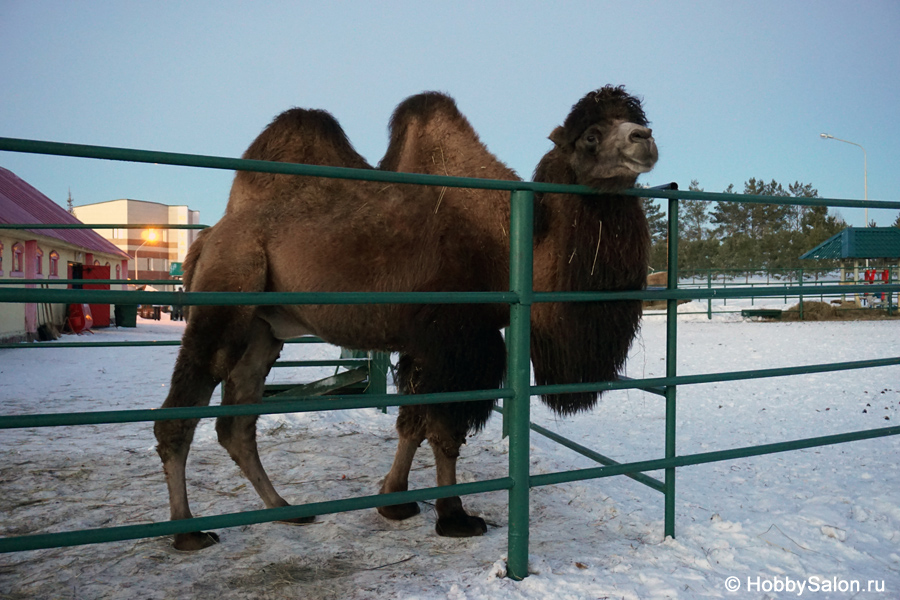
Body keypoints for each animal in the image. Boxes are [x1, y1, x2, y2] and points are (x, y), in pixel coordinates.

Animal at [158, 84, 656, 548]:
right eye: (590, 135)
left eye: (636, 119)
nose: (644, 139)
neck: (514, 240)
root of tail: (208, 238)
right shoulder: (460, 340)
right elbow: (444, 432)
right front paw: (454, 517)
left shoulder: (428, 344)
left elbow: (412, 424)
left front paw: (395, 501)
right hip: (227, 288)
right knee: (182, 410)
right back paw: (187, 531)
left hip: (263, 327)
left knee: (237, 422)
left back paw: (285, 509)